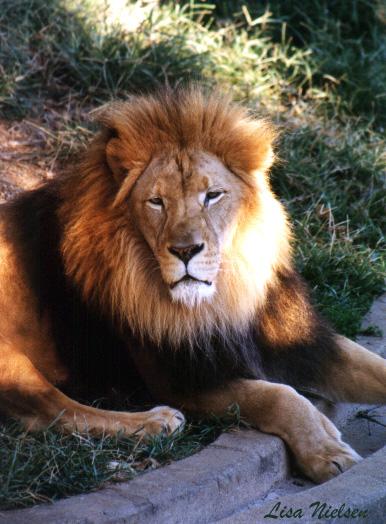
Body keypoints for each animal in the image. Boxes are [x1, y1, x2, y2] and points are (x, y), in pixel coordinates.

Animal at [0, 87, 386, 484]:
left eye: (212, 195)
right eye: (156, 202)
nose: (185, 251)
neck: (223, 299)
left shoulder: (298, 342)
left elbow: (375, 368)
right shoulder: (182, 381)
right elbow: (278, 395)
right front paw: (326, 450)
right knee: (50, 411)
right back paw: (156, 422)